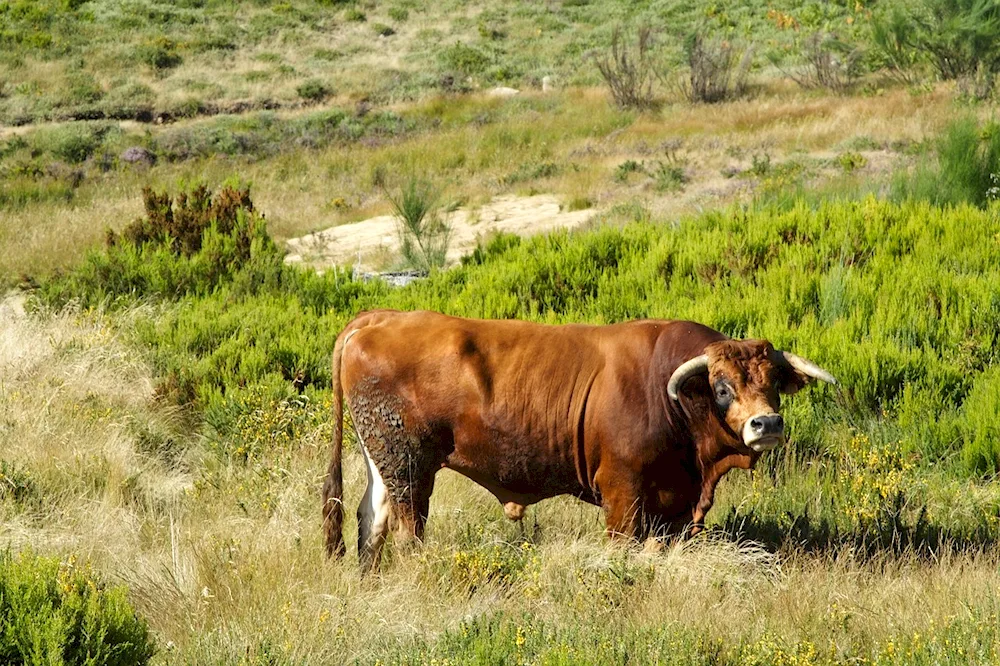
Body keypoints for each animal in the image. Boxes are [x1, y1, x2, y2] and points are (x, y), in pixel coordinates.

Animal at [322, 308, 836, 568]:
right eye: (723, 386)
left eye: (773, 382)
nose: (766, 424)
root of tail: (379, 318)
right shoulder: (623, 492)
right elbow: (623, 546)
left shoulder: (673, 505)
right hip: (409, 467)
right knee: (408, 527)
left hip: (383, 459)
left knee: (371, 517)